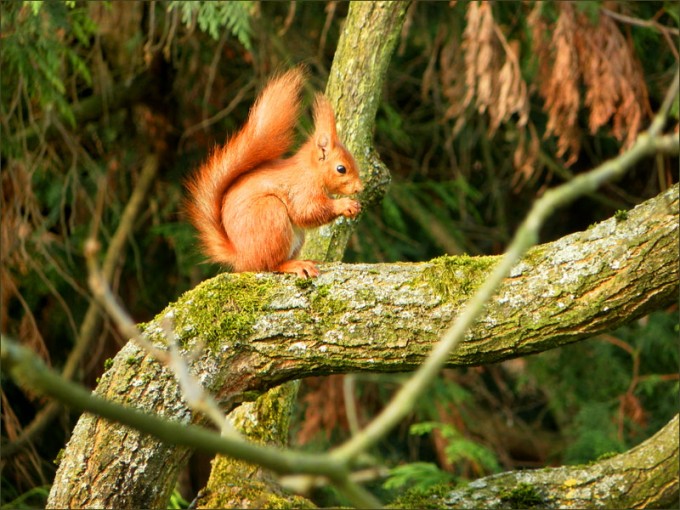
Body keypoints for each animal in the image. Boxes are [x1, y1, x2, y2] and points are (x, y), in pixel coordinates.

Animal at [185, 68, 363, 278]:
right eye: (341, 169)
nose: (360, 188)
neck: (310, 171)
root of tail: (241, 257)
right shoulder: (301, 189)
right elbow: (307, 211)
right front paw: (344, 205)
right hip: (271, 215)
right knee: (269, 264)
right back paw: (294, 265)